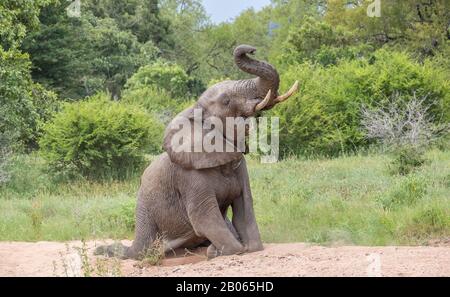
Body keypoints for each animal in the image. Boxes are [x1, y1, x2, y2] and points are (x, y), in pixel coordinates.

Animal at [95, 44, 298, 260]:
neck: (193, 109)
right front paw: (218, 251)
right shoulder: (188, 176)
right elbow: (204, 217)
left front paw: (224, 248)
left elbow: (245, 212)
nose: (251, 49)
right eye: (226, 101)